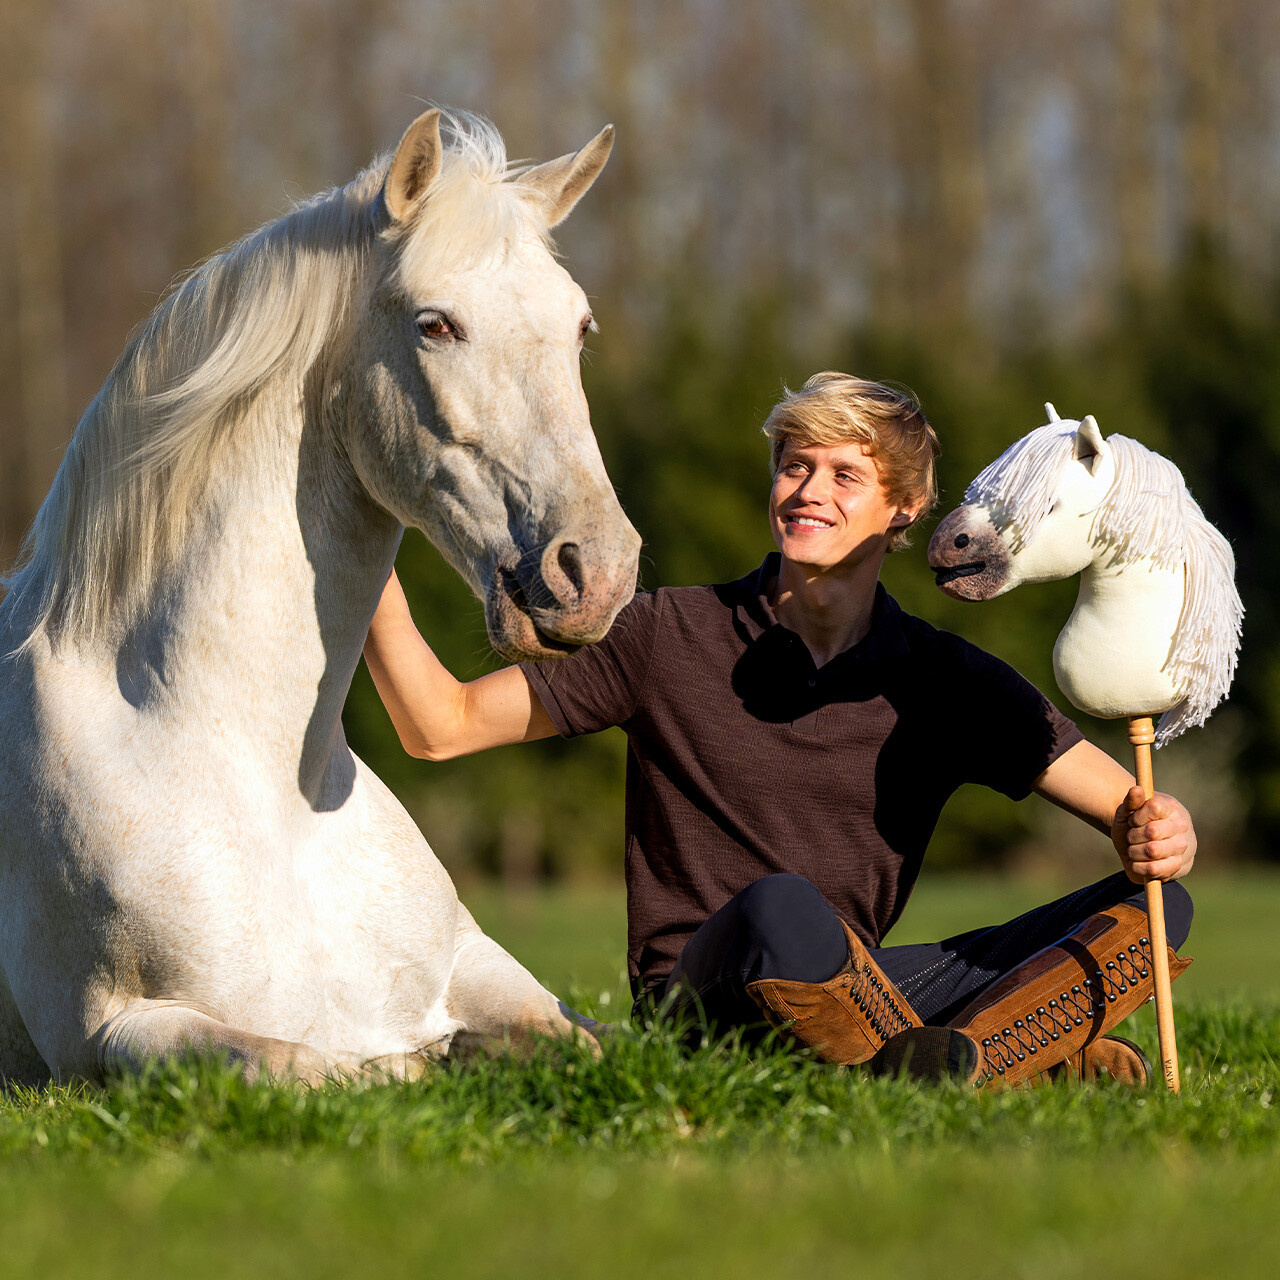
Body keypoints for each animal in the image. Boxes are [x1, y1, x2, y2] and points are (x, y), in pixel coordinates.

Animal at [0, 109, 641, 1087]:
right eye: (434, 324)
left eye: (579, 327)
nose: (596, 573)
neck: (270, 791)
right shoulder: (107, 1034)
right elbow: (321, 1066)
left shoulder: (479, 966)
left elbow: (592, 1044)